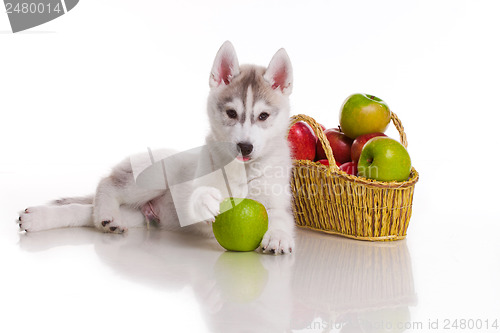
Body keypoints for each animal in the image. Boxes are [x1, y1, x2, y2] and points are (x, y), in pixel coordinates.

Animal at [17, 41, 294, 254]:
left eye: (263, 116)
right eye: (231, 113)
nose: (244, 147)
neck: (244, 171)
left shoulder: (277, 202)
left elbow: (280, 217)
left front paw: (278, 236)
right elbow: (196, 198)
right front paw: (204, 201)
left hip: (138, 215)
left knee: (87, 212)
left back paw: (51, 218)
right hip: (153, 177)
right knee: (106, 184)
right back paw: (102, 211)